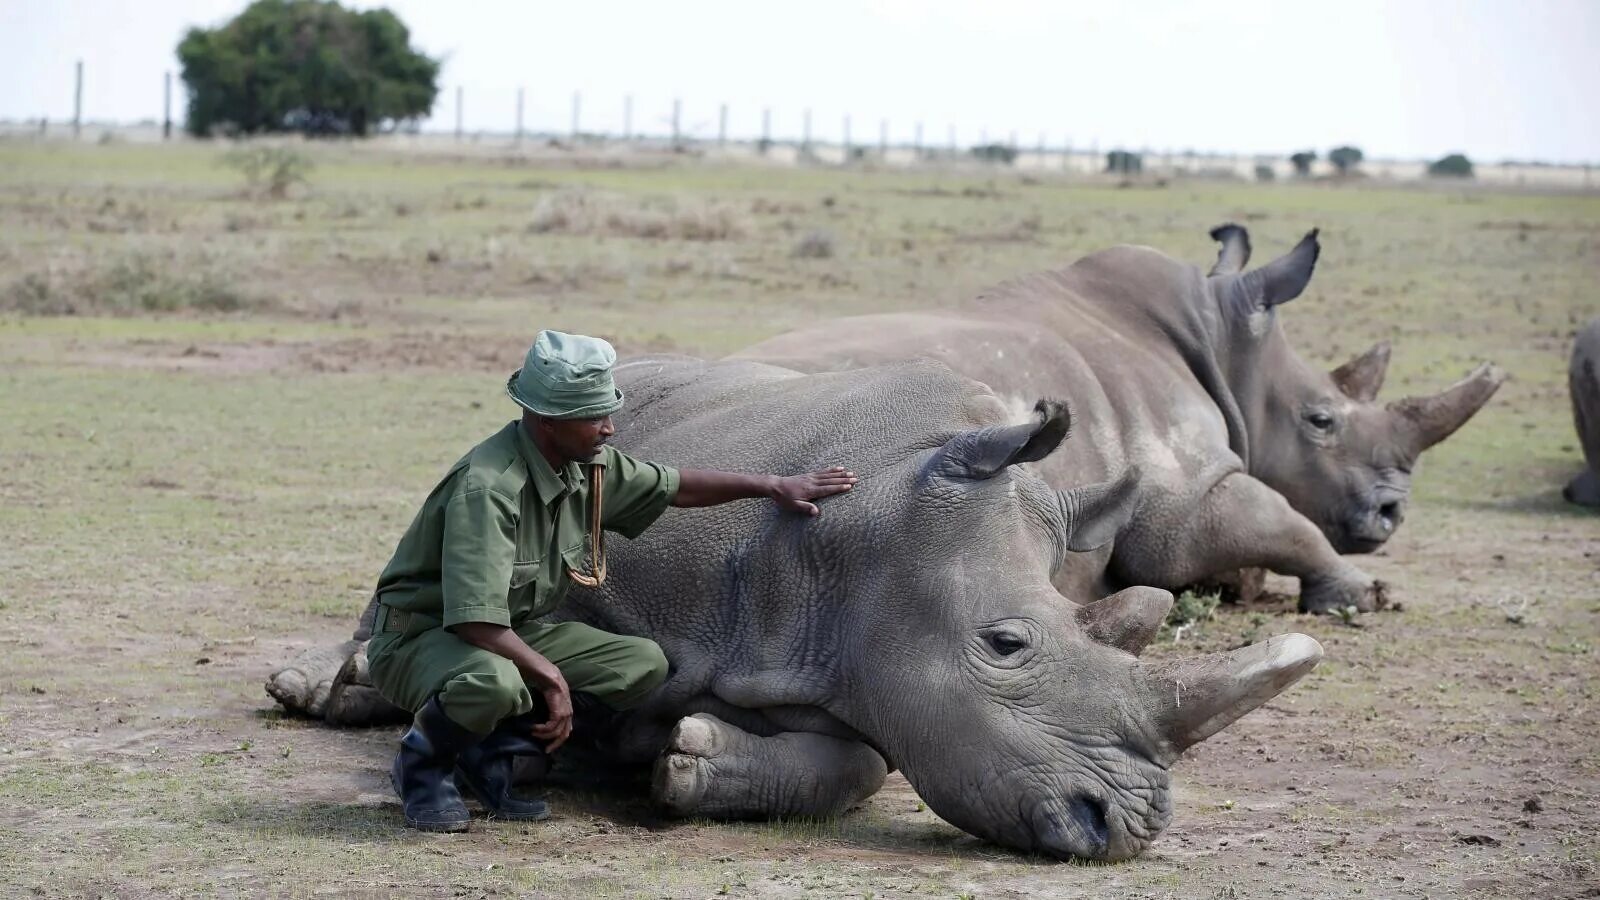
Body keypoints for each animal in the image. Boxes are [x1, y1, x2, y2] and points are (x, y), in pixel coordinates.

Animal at [272, 353, 1324, 858]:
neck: (872, 531)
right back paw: (323, 690)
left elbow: (857, 764)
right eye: (1005, 643)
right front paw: (596, 746)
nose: (1129, 830)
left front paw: (685, 759)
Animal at [736, 224, 1497, 608]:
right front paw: (1364, 596)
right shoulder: (1181, 498)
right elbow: (1283, 520)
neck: (1222, 340)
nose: (1392, 513)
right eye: (1321, 421)